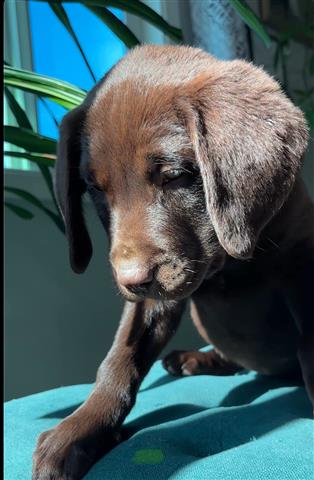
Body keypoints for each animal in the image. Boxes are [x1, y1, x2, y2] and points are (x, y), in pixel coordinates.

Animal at [33, 46, 312, 480]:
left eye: (175, 175)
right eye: (94, 189)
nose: (130, 281)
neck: (229, 264)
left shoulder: (301, 263)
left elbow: (310, 347)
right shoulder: (153, 298)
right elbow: (119, 359)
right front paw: (79, 430)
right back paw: (195, 359)